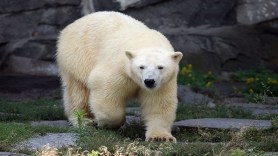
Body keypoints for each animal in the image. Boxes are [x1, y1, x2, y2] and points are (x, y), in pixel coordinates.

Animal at [56, 11, 182, 143]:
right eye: (141, 67)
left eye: (160, 67)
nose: (149, 81)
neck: (145, 40)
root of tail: (70, 26)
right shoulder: (118, 68)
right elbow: (105, 90)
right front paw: (108, 124)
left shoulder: (163, 83)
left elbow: (158, 104)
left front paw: (160, 137)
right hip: (78, 56)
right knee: (78, 90)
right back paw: (86, 120)